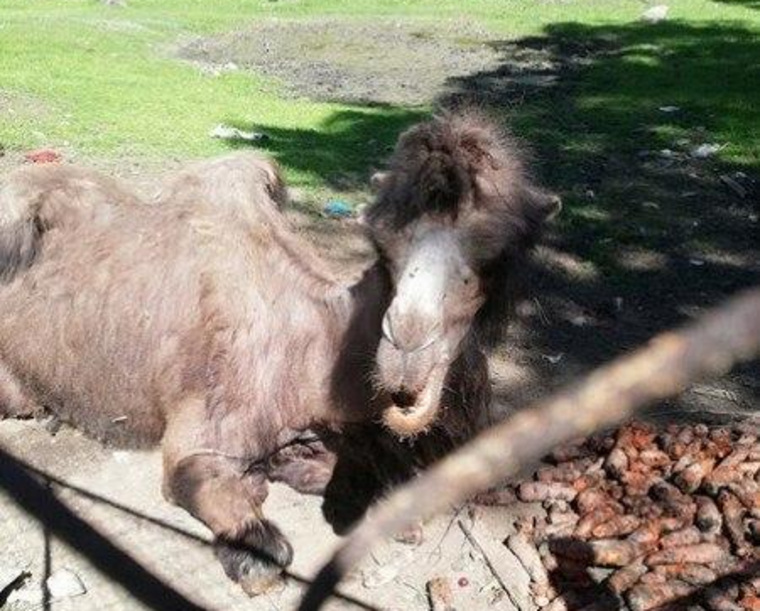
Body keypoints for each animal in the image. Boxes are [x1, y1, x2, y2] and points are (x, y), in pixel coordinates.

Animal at [0, 112, 560, 596]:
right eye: (382, 246)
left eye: (499, 254)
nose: (404, 346)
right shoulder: (204, 426)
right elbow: (234, 516)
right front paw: (253, 550)